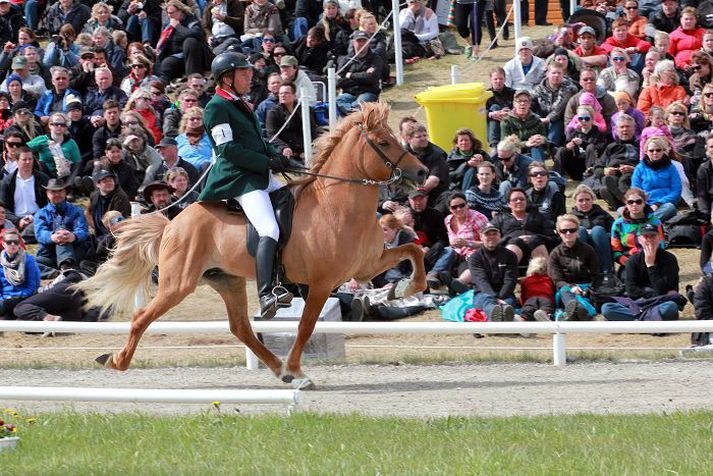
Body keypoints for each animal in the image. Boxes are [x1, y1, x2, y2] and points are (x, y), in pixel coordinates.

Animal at [81, 103, 432, 386]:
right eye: (384, 142)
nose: (422, 171)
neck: (336, 206)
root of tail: (172, 224)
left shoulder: (366, 267)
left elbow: (414, 251)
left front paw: (404, 289)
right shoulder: (322, 283)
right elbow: (306, 326)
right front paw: (298, 369)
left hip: (228, 281)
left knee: (240, 327)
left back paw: (279, 370)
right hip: (178, 284)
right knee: (143, 316)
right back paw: (116, 360)